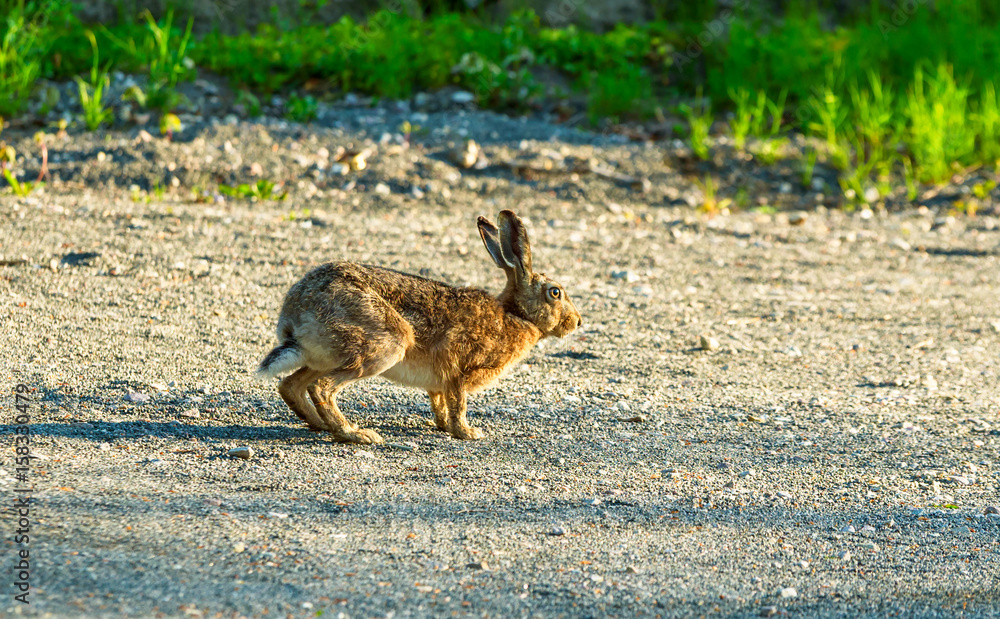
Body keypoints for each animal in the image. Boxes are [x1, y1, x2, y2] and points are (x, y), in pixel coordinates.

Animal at [255, 210, 582, 444]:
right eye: (555, 292)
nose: (578, 322)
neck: (518, 315)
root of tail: (294, 314)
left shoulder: (438, 381)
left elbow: (438, 402)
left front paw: (441, 426)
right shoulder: (461, 371)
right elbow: (458, 403)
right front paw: (467, 433)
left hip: (326, 356)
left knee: (292, 385)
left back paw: (321, 424)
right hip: (383, 345)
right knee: (321, 388)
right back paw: (356, 434)